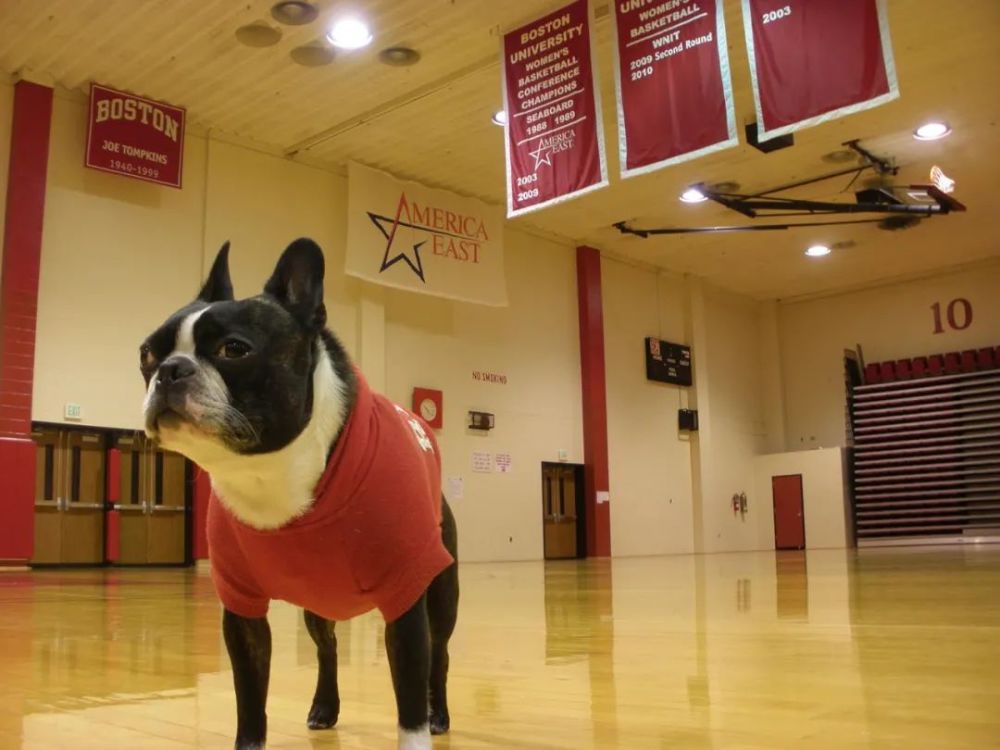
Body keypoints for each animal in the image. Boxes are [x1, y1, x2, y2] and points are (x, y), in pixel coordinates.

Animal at [139, 241, 458, 750]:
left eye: (234, 349)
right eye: (147, 354)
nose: (170, 370)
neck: (270, 469)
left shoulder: (405, 601)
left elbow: (409, 706)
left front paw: (420, 727)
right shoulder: (242, 610)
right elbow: (250, 701)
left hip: (441, 594)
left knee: (440, 653)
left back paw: (439, 713)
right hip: (317, 608)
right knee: (328, 650)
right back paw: (325, 706)